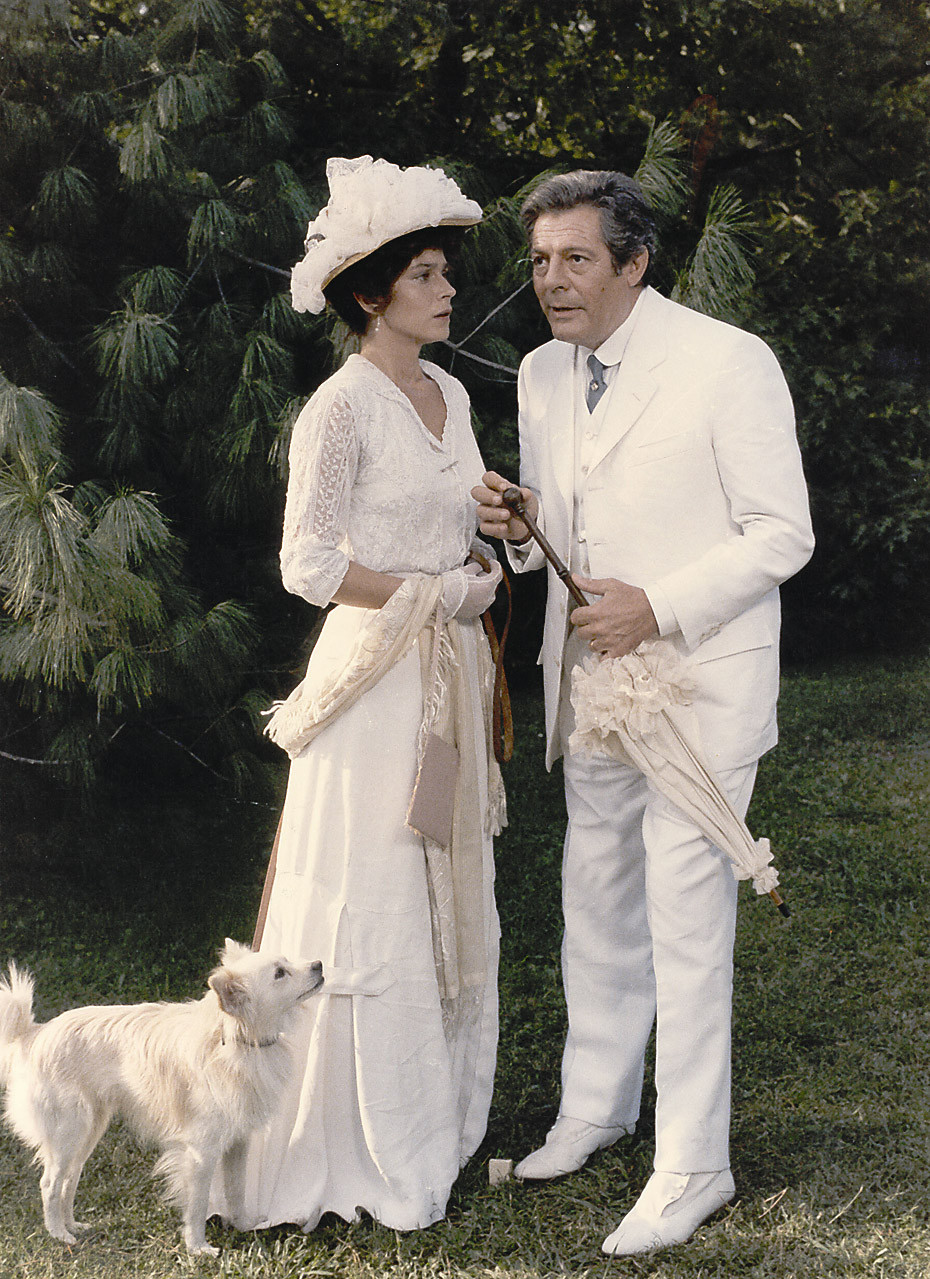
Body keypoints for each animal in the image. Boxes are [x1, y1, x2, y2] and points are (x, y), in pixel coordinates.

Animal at [0, 939, 323, 1255]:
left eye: (286, 962)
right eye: (280, 973)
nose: (319, 964)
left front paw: (244, 1226)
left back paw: (72, 1225)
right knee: (49, 1183)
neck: (234, 1038)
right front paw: (198, 1247)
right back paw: (58, 1234)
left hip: (86, 1134)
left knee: (69, 1179)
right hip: (68, 1132)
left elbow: (236, 1192)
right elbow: (198, 1204)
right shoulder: (201, 1152)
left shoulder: (237, 1145)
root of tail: (33, 1033)